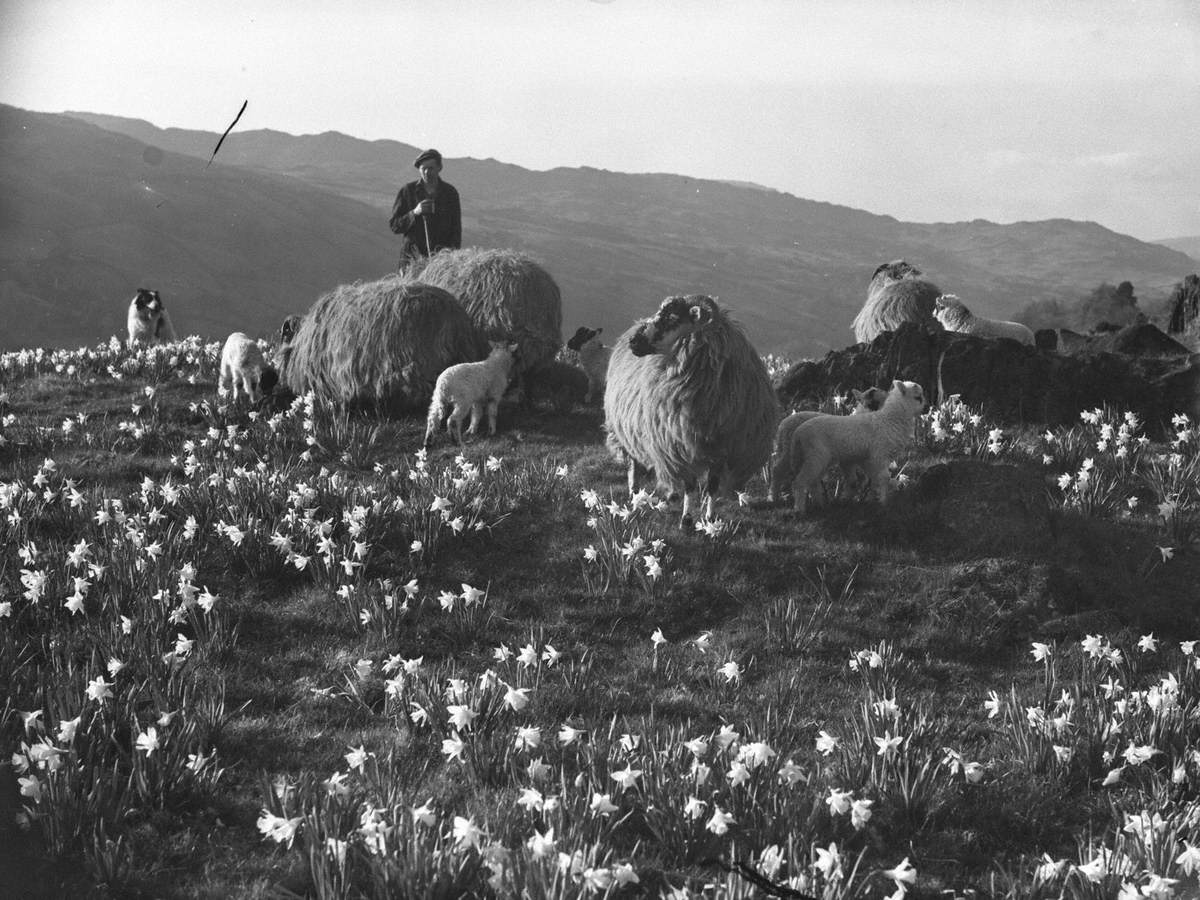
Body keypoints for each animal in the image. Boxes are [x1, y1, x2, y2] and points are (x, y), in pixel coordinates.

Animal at [604, 294, 782, 528]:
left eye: (672, 317)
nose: (634, 341)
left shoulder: (722, 451)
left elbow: (712, 487)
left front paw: (710, 519)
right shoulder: (679, 446)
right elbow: (689, 486)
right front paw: (686, 520)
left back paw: (670, 495)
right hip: (626, 427)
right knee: (633, 461)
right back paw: (634, 491)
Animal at [787, 379, 926, 513]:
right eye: (918, 397)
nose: (926, 409)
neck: (889, 419)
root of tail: (797, 433)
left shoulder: (870, 459)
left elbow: (877, 479)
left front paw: (875, 499)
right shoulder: (879, 455)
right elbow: (883, 477)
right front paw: (884, 503)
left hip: (820, 459)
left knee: (813, 482)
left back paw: (819, 505)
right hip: (815, 456)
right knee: (799, 482)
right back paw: (799, 510)